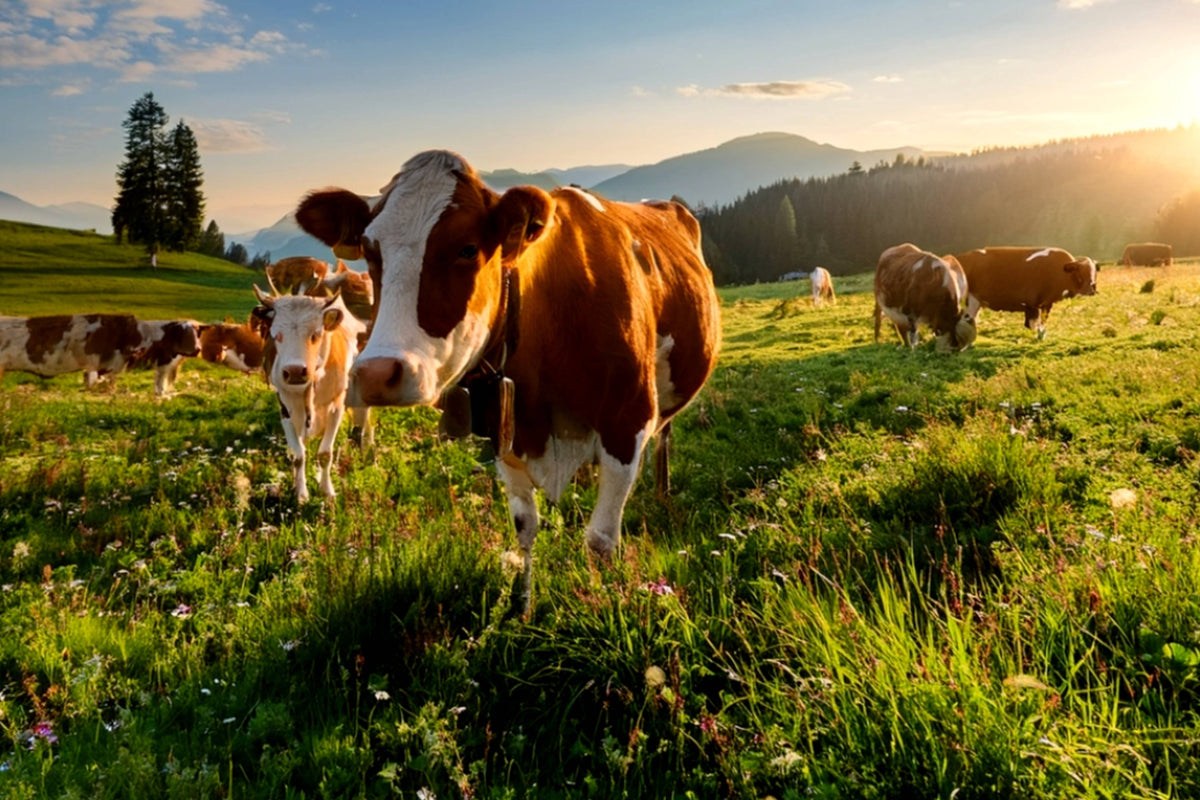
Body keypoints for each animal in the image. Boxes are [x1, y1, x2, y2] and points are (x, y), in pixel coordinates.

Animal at [251, 285, 368, 502]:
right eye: (277, 335)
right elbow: (298, 455)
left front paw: (327, 491)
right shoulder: (285, 408)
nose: (296, 371)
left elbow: (325, 454)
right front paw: (301, 493)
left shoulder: (337, 406)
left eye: (315, 334)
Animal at [294, 149, 721, 605]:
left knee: (665, 438)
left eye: (467, 248)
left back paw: (662, 493)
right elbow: (525, 529)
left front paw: (602, 599)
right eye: (370, 252)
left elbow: (600, 541)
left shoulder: (627, 421)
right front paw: (525, 605)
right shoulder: (504, 433)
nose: (376, 374)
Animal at [954, 246, 1097, 339]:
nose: (1091, 290)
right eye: (1079, 272)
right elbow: (1035, 323)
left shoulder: (1044, 303)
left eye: (1094, 272)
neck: (1061, 271)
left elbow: (1040, 322)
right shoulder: (1035, 303)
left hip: (974, 301)